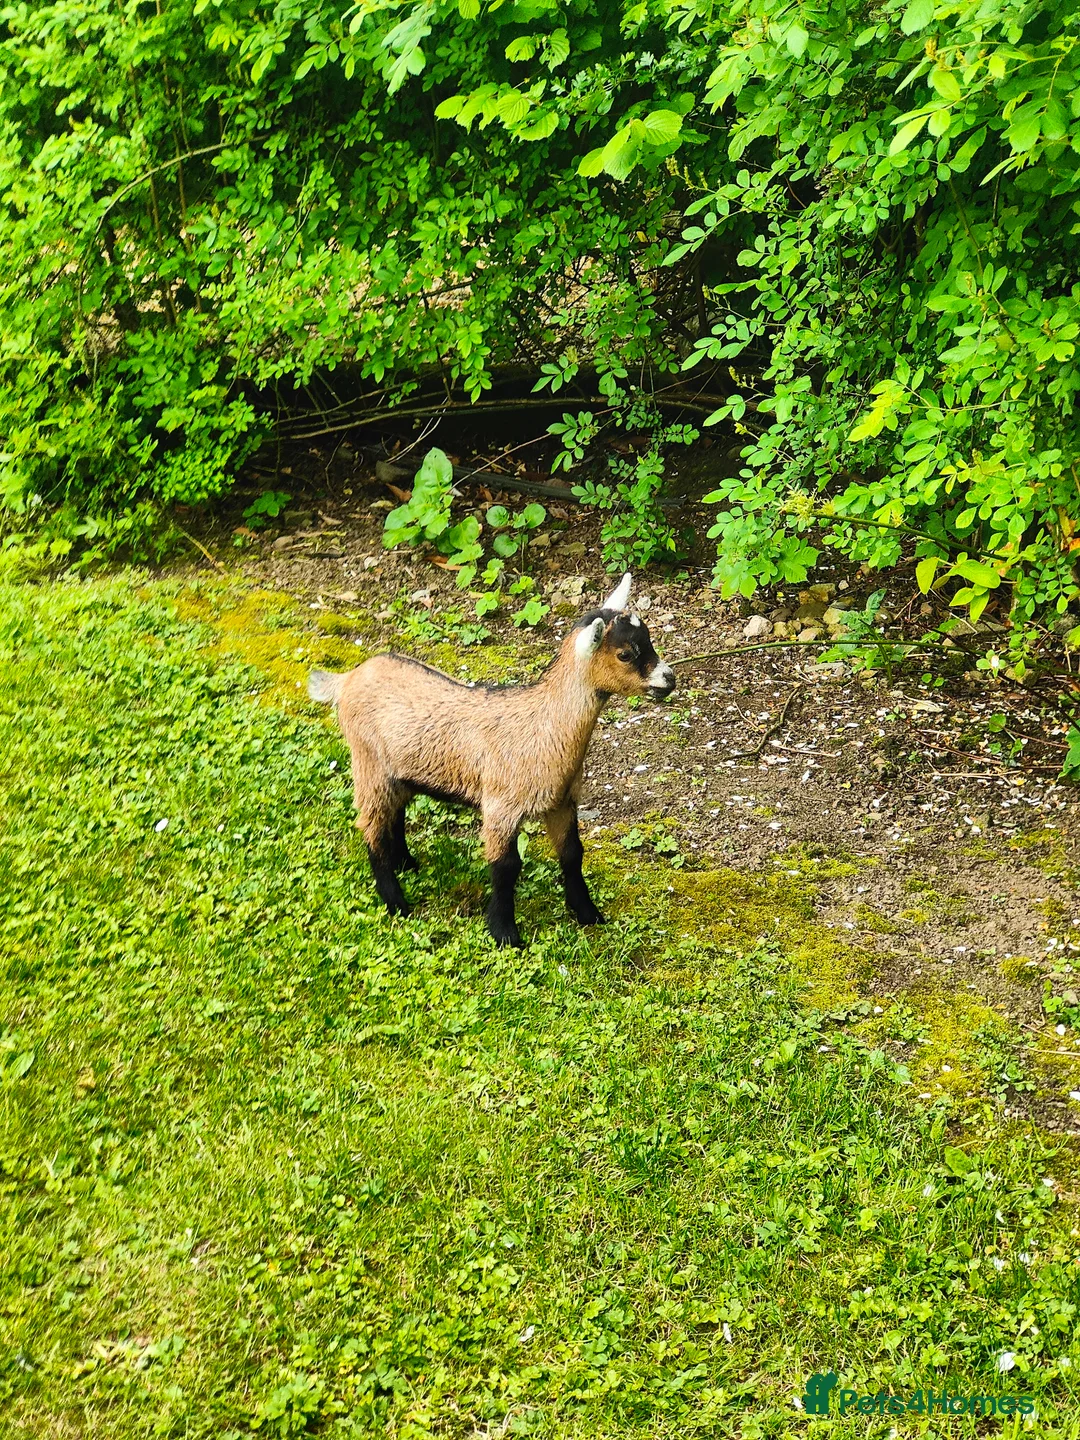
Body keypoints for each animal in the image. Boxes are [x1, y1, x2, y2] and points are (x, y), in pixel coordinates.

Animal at [308, 572, 676, 947]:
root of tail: (348, 679)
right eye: (625, 654)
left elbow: (573, 853)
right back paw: (397, 901)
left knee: (393, 813)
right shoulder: (501, 805)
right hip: (368, 760)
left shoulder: (562, 801)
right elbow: (505, 866)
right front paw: (505, 933)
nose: (669, 679)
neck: (543, 724)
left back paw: (407, 864)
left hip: (400, 770)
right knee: (371, 825)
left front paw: (589, 915)